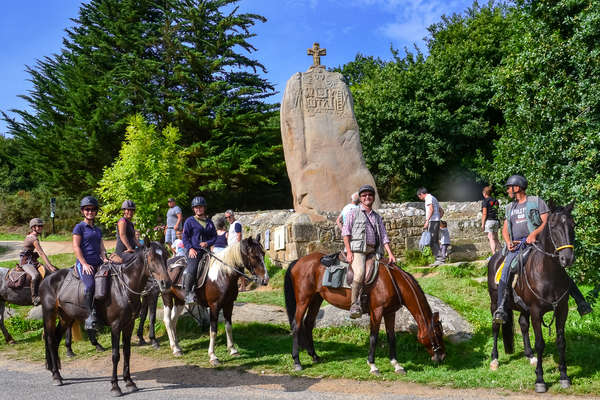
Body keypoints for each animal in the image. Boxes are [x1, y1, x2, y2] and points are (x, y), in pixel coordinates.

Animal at [39, 242, 171, 396]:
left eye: (166, 256)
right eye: (151, 258)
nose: (166, 283)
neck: (123, 287)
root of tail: (47, 278)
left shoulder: (129, 324)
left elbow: (127, 353)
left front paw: (129, 382)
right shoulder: (115, 326)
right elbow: (115, 355)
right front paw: (115, 386)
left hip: (66, 317)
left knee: (55, 340)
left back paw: (57, 372)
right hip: (49, 314)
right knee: (50, 339)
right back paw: (56, 376)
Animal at [163, 236, 268, 364]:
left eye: (263, 253)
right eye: (253, 256)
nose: (265, 280)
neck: (223, 275)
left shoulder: (229, 304)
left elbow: (229, 327)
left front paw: (233, 350)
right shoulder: (214, 306)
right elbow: (213, 331)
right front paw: (213, 356)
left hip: (179, 301)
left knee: (173, 321)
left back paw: (177, 347)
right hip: (167, 297)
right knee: (168, 321)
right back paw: (175, 348)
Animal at [284, 253, 446, 376]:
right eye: (437, 333)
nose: (442, 356)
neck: (392, 281)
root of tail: (298, 261)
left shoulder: (390, 313)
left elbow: (391, 337)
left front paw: (396, 364)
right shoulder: (377, 311)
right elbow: (373, 337)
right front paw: (373, 365)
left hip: (316, 298)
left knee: (308, 323)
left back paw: (314, 356)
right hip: (303, 300)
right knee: (296, 325)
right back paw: (297, 361)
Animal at [488, 203, 576, 394]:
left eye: (572, 225)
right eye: (553, 226)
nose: (567, 258)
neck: (548, 274)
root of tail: (495, 257)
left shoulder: (562, 310)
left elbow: (561, 342)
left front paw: (564, 377)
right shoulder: (536, 312)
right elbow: (540, 343)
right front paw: (540, 380)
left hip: (523, 307)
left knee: (522, 324)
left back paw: (530, 356)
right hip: (494, 303)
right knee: (495, 327)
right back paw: (494, 359)